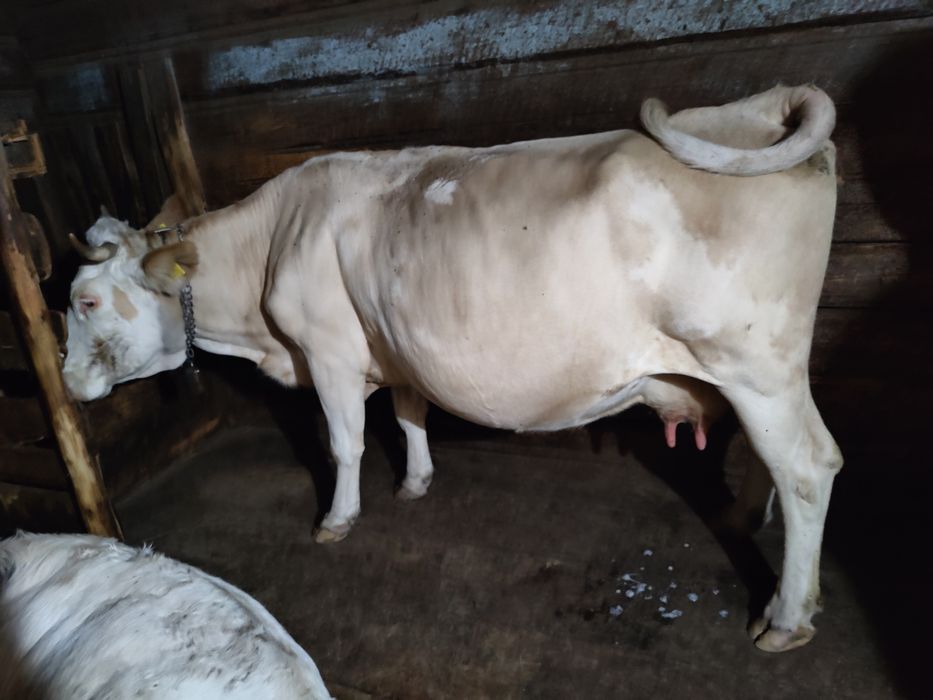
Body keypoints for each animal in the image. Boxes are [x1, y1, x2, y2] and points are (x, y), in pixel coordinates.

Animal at [62, 85, 841, 652]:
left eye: (87, 299)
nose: (68, 384)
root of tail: (762, 102)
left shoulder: (330, 351)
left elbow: (343, 442)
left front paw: (338, 518)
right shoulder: (398, 343)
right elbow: (410, 415)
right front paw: (415, 481)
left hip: (755, 364)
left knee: (808, 466)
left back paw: (784, 618)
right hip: (754, 374)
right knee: (771, 462)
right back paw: (741, 519)